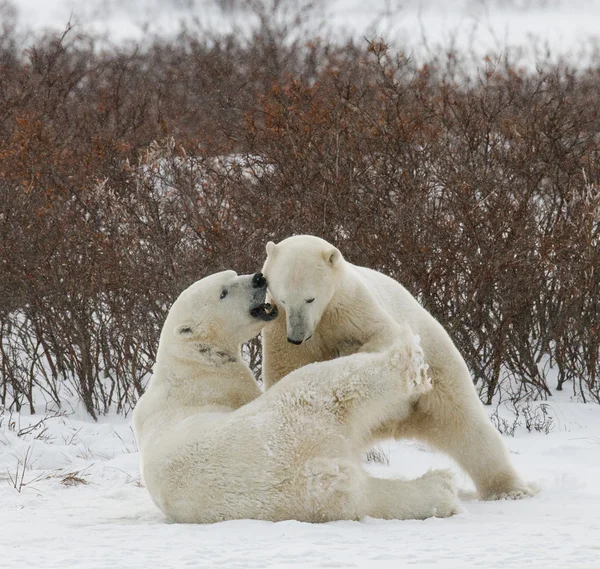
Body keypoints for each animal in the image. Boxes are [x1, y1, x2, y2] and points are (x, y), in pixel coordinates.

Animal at [132, 268, 460, 520]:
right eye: (223, 292)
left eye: (233, 274)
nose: (258, 278)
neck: (189, 363)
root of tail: (312, 471)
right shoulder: (227, 386)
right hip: (294, 413)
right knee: (336, 383)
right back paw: (408, 359)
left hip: (312, 499)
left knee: (367, 498)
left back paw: (439, 490)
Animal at [262, 233, 536, 500]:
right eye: (284, 299)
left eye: (310, 298)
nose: (297, 336)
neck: (324, 317)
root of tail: (397, 422)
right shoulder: (280, 328)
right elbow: (286, 370)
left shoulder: (354, 308)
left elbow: (385, 337)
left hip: (438, 368)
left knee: (468, 426)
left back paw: (509, 490)